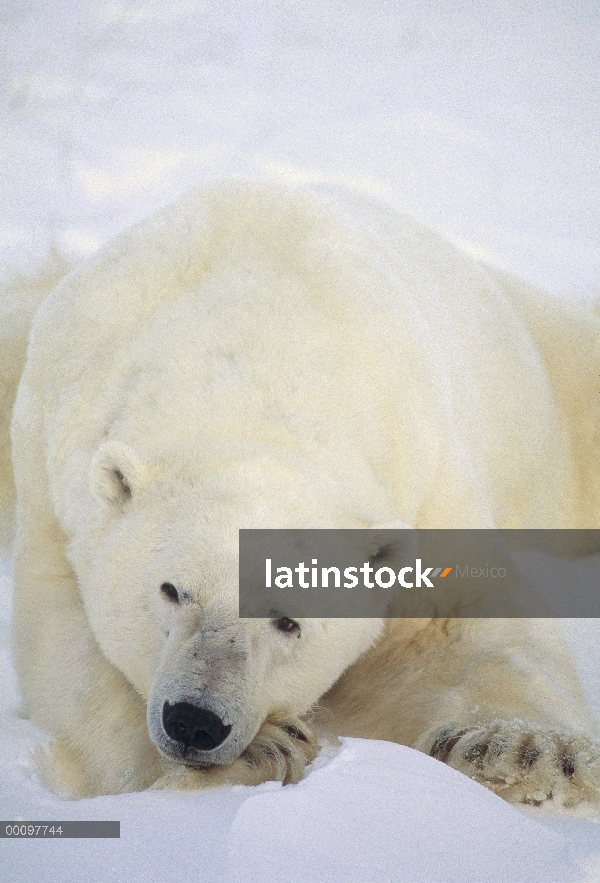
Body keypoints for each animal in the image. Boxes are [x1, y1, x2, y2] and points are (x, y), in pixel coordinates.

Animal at [7, 183, 600, 804]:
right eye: (171, 590)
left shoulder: (425, 467)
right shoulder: (54, 479)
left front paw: (530, 751)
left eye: (288, 622)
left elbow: (464, 616)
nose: (194, 721)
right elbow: (69, 648)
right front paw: (260, 752)